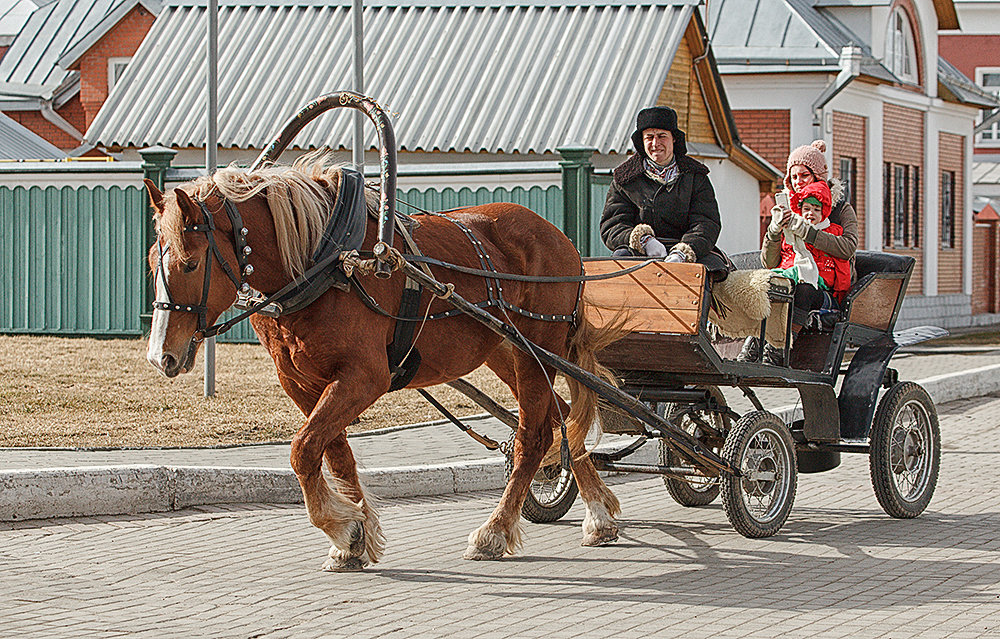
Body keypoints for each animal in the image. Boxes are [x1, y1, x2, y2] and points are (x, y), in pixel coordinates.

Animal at [142, 155, 624, 568]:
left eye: (189, 263)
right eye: (151, 262)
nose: (161, 355)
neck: (324, 262)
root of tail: (559, 239)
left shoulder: (364, 377)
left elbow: (303, 450)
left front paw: (341, 527)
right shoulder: (300, 382)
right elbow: (332, 453)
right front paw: (354, 536)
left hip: (534, 349)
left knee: (533, 438)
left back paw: (494, 531)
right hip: (507, 352)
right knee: (563, 418)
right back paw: (598, 515)